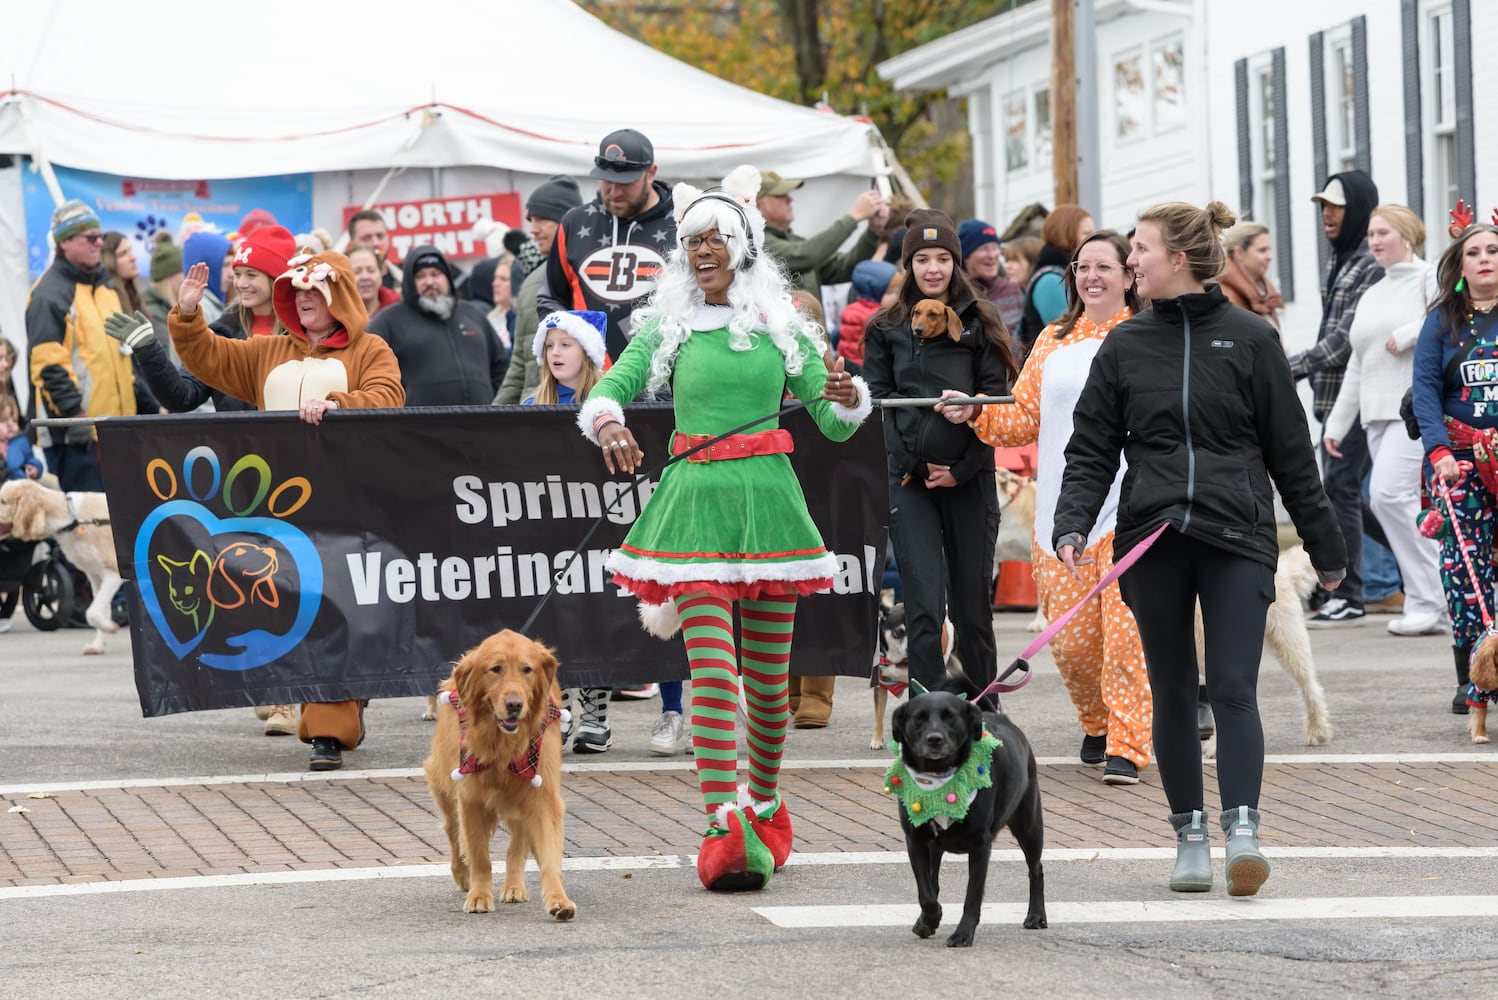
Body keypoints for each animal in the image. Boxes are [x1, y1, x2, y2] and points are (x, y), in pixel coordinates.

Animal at [0, 479, 121, 655]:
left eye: (3, 501)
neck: (71, 519)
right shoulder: (96, 576)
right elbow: (100, 611)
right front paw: (98, 644)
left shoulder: (113, 573)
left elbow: (92, 612)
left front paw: (111, 628)